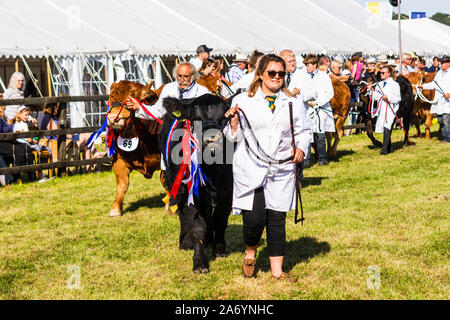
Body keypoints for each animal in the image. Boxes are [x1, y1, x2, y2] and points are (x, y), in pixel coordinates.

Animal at [107, 80, 163, 216]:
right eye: (110, 99)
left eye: (130, 99)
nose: (113, 119)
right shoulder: (119, 160)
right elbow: (122, 184)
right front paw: (115, 209)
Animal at [159, 94, 232, 274]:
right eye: (195, 119)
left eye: (224, 119)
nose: (212, 138)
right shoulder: (189, 194)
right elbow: (197, 227)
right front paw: (200, 262)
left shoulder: (228, 192)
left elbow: (220, 219)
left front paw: (219, 249)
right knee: (184, 215)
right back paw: (186, 243)